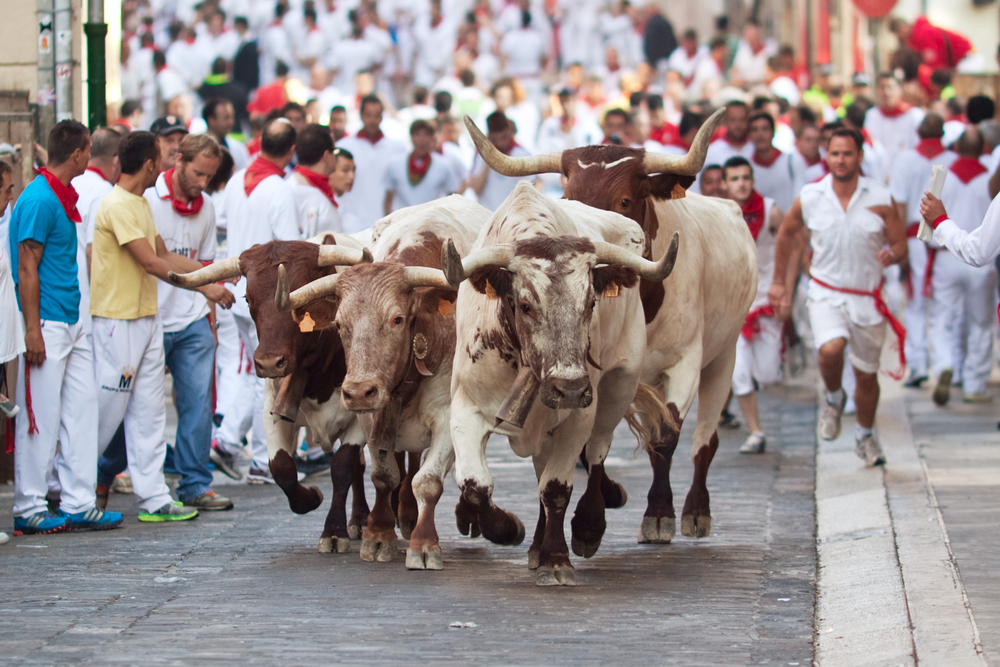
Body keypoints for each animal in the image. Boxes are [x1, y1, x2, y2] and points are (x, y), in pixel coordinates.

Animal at [168, 234, 373, 553]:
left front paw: (334, 531)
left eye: (302, 301)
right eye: (247, 299)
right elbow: (282, 468)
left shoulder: (360, 415)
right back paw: (360, 518)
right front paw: (310, 496)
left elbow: (342, 467)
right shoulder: (272, 410)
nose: (268, 362)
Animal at [279, 196, 492, 569]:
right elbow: (384, 475)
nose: (358, 391)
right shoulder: (370, 417)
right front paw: (378, 535)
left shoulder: (448, 415)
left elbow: (429, 481)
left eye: (397, 319)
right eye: (338, 324)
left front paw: (424, 543)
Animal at [440, 182, 679, 585]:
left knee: (596, 454)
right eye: (525, 305)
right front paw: (506, 529)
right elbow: (475, 484)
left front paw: (555, 559)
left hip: (619, 386)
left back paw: (587, 528)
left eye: (591, 303)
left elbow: (555, 489)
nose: (569, 389)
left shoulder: (577, 417)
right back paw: (535, 545)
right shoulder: (466, 409)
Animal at [462, 110, 758, 544]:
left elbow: (665, 435)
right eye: (568, 198)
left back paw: (695, 509)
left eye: (625, 201)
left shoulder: (685, 361)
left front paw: (658, 513)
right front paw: (607, 498)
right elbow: (587, 447)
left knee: (705, 438)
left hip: (725, 355)